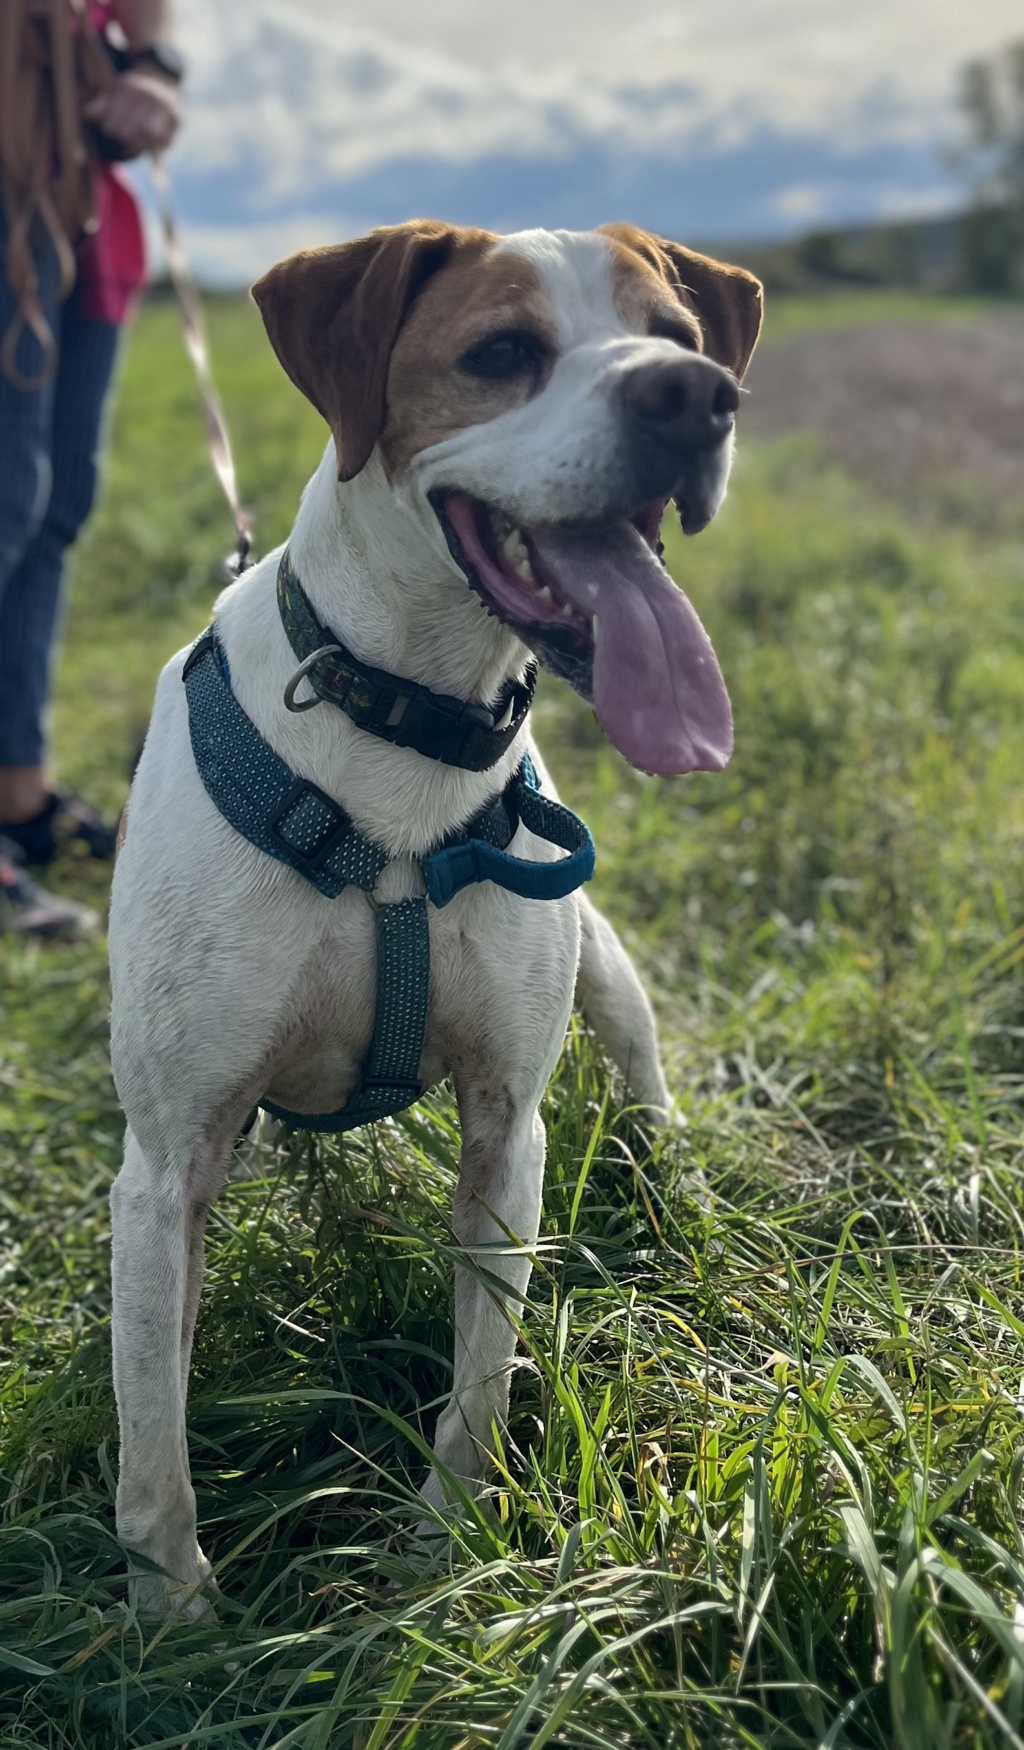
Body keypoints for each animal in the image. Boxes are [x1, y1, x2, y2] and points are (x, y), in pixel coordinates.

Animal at [107, 218, 759, 1610]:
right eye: (499, 354)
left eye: (679, 337)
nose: (694, 397)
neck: (400, 723)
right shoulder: (167, 1163)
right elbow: (152, 1435)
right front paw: (173, 1616)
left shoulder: (506, 1130)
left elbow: (477, 1384)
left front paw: (439, 1551)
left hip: (604, 968)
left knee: (642, 1067)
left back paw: (678, 1181)